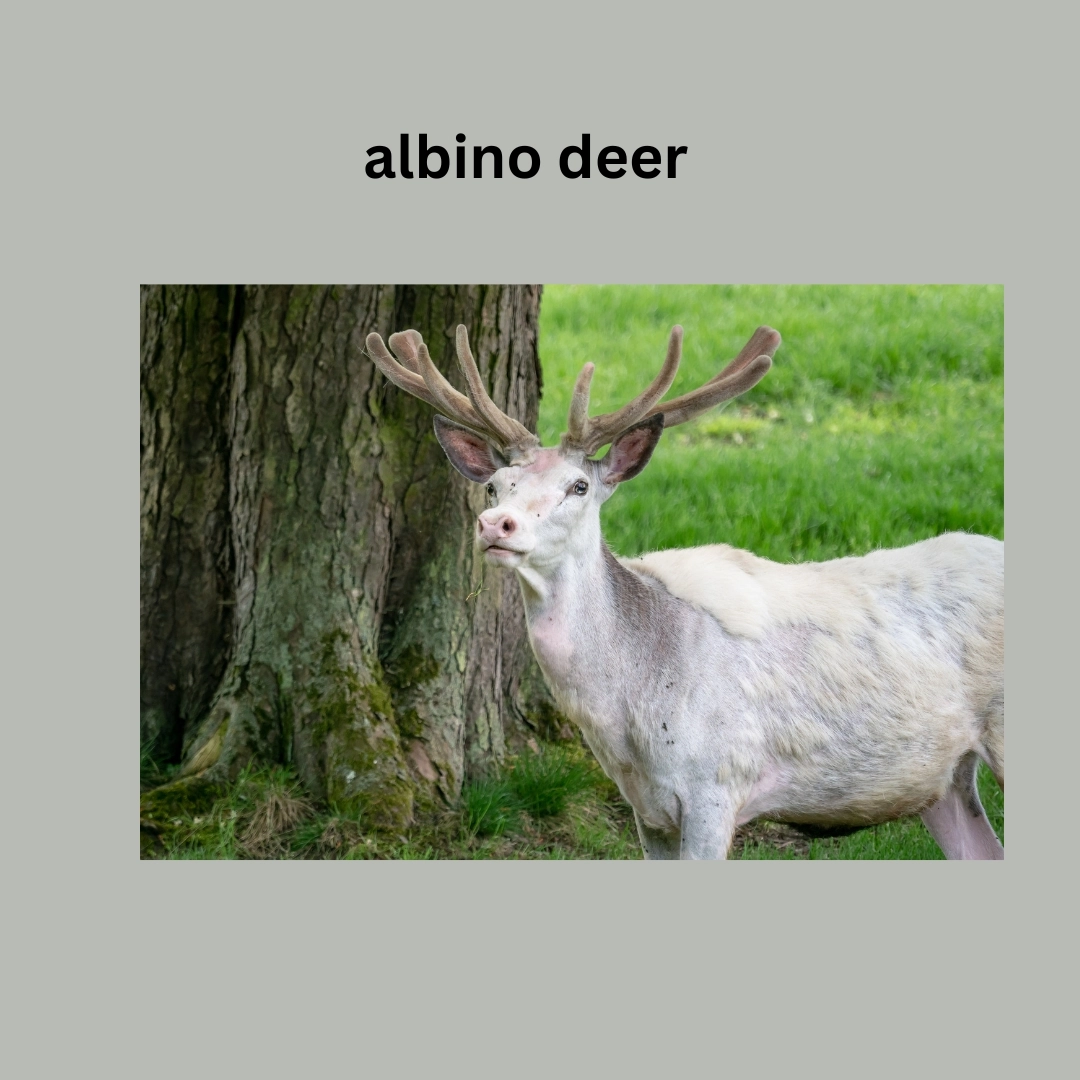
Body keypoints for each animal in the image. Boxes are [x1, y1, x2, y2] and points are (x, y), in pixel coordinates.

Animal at [366, 322, 1005, 860]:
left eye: (578, 486)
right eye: (496, 484)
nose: (496, 524)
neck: (632, 717)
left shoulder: (717, 786)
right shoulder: (647, 812)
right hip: (944, 780)